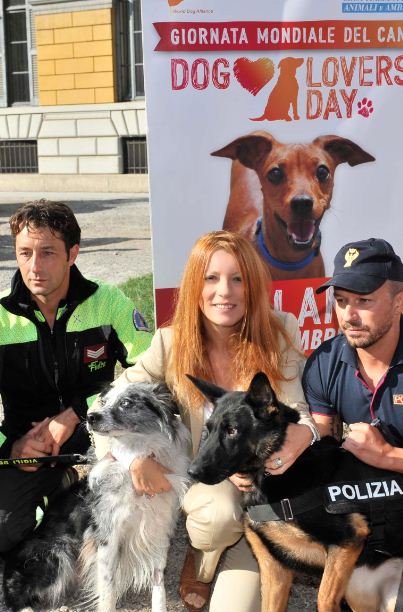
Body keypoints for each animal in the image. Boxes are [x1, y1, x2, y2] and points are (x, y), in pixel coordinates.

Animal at [188, 372, 403, 612]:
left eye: (232, 431)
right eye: (208, 430)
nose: (192, 472)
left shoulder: (348, 539)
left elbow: (324, 598)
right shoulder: (274, 570)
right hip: (358, 589)